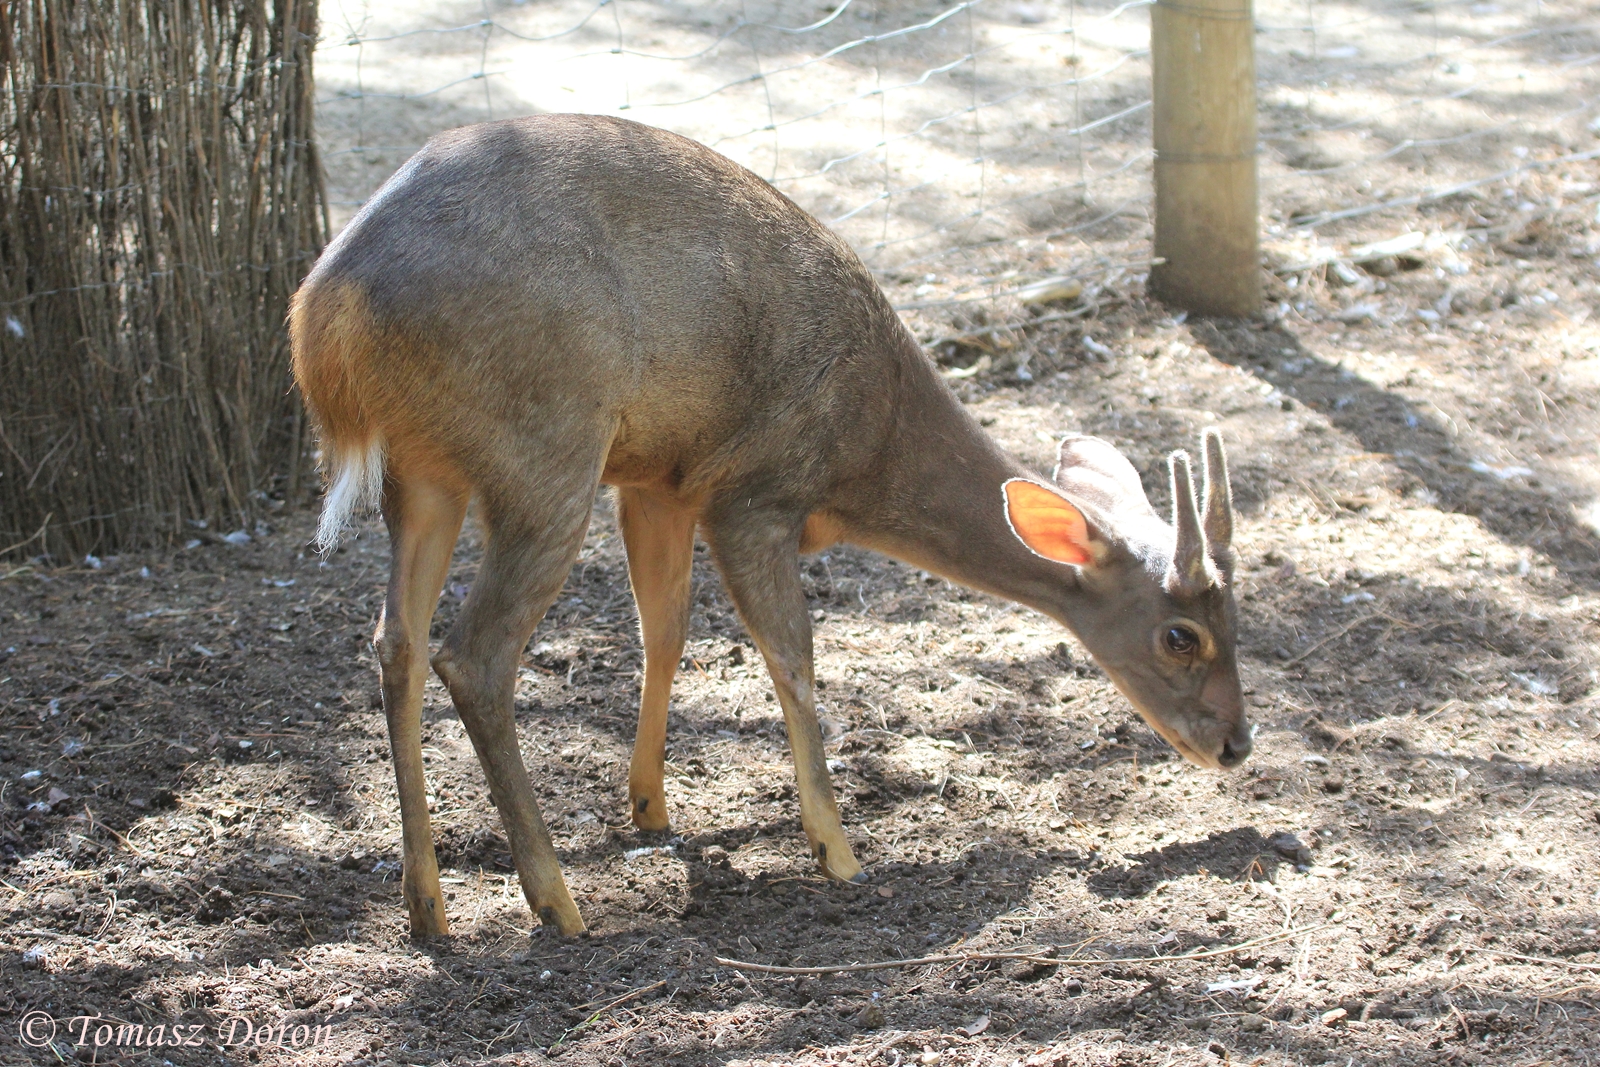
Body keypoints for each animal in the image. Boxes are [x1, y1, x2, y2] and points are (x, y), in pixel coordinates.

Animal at [290, 114, 1251, 939]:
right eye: (1181, 635)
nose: (1237, 744)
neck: (869, 456)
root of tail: (319, 320)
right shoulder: (754, 492)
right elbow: (794, 655)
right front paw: (838, 849)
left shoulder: (663, 483)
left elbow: (666, 632)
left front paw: (651, 804)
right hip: (545, 446)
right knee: (474, 653)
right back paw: (557, 900)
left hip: (427, 473)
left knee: (396, 640)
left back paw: (427, 902)